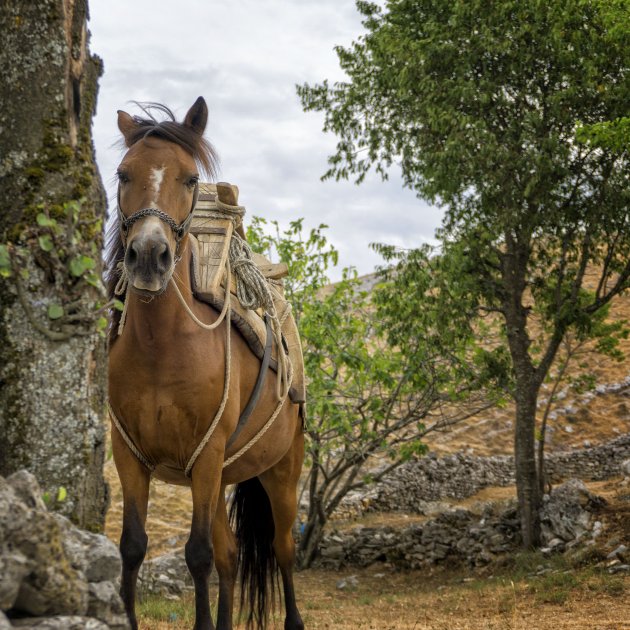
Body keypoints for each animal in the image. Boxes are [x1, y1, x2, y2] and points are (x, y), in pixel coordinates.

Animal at [106, 99, 306, 630]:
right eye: (123, 173)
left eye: (191, 178)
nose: (148, 256)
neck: (163, 347)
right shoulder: (130, 455)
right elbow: (132, 547)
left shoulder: (207, 454)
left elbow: (196, 556)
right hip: (218, 482)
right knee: (230, 555)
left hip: (281, 471)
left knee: (282, 549)